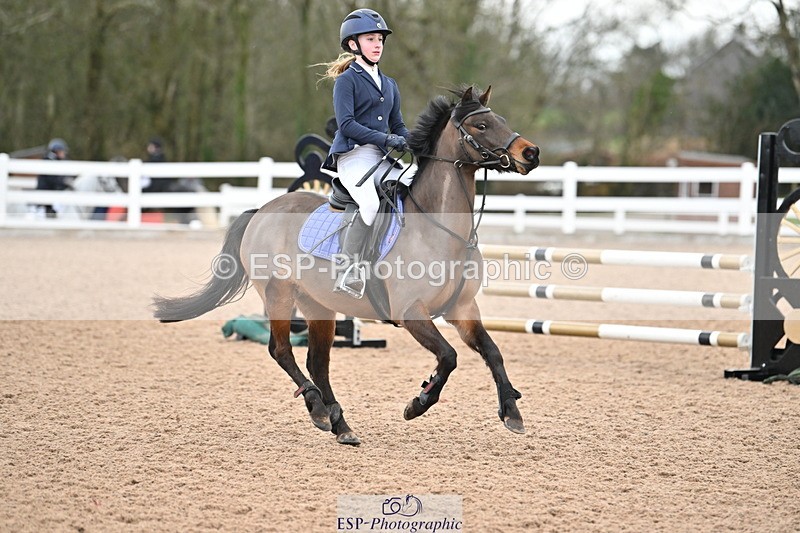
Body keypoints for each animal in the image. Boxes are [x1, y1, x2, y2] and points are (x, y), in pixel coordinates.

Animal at [153, 86, 541, 445]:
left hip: (318, 306)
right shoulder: (411, 312)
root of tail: (261, 210)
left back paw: (340, 424)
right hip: (279, 294)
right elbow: (448, 356)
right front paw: (418, 402)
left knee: (317, 362)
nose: (531, 153)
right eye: (481, 125)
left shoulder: (462, 309)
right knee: (282, 351)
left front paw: (511, 410)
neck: (438, 229)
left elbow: (492, 352)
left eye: (502, 120)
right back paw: (319, 410)